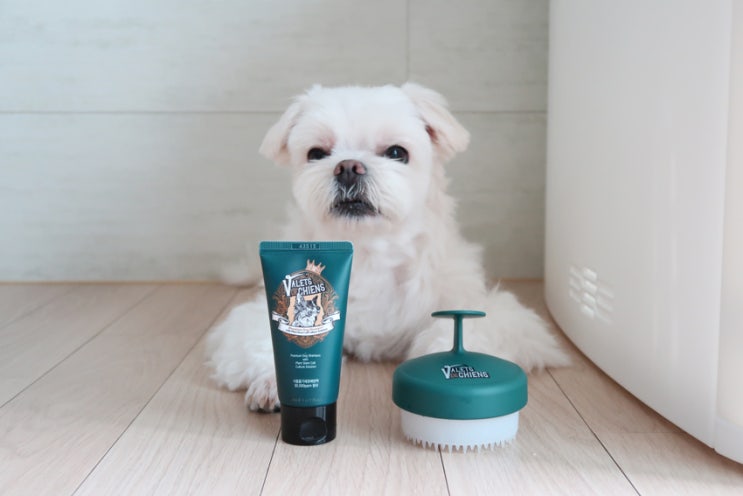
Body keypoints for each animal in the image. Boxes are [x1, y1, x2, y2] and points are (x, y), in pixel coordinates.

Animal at [205, 83, 569, 411]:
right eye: (316, 154)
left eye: (397, 152)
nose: (348, 167)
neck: (370, 252)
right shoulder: (265, 311)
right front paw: (271, 382)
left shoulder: (487, 310)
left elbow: (453, 333)